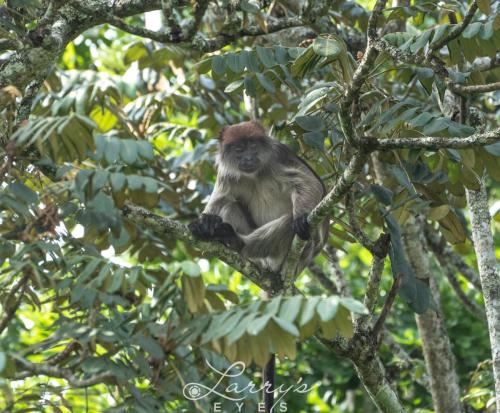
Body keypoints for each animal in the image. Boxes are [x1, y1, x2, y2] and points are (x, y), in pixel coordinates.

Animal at [189, 120, 330, 274]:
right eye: (239, 149)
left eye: (253, 146)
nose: (248, 158)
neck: (254, 175)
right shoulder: (226, 172)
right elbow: (219, 199)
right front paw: (205, 222)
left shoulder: (278, 155)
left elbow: (310, 183)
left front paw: (300, 218)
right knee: (230, 206)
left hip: (302, 251)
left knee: (289, 220)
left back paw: (238, 241)